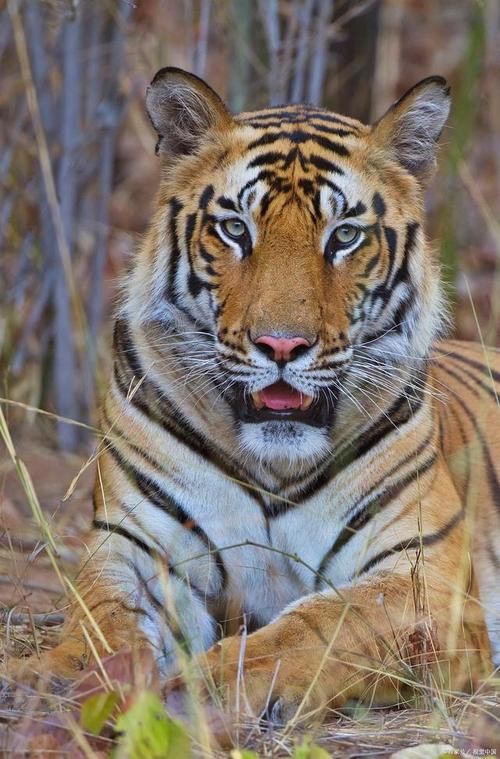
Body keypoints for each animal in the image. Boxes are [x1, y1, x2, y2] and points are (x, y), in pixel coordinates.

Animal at [9, 67, 500, 721]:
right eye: (236, 229)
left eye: (344, 235)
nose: (282, 346)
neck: (274, 467)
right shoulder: (135, 550)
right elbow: (102, 622)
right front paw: (56, 679)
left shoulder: (424, 576)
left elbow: (320, 624)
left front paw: (207, 687)